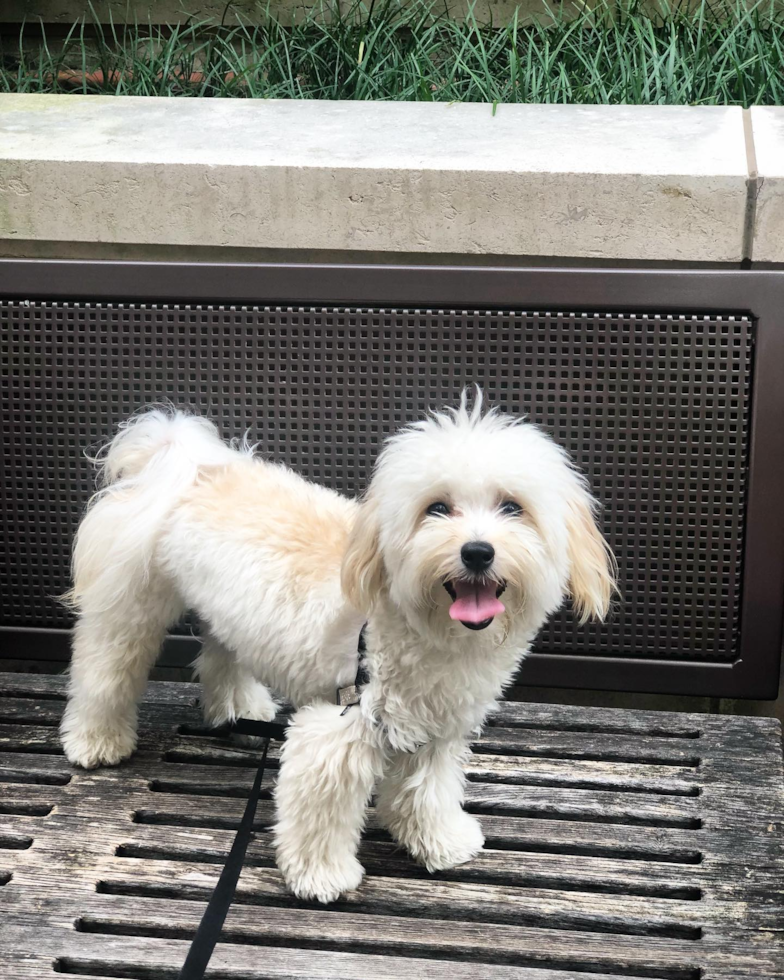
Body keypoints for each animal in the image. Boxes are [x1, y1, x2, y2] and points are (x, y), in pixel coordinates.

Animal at [61, 390, 616, 904]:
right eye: (436, 508)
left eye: (512, 507)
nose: (477, 551)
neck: (414, 632)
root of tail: (189, 465)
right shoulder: (336, 727)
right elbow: (321, 813)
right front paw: (321, 877)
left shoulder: (436, 733)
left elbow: (427, 793)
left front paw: (440, 841)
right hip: (129, 608)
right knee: (105, 668)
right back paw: (97, 741)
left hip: (227, 616)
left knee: (222, 653)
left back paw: (240, 708)